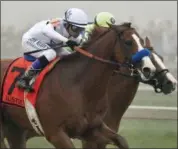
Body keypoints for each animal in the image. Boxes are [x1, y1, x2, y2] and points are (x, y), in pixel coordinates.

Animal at [0, 22, 156, 148]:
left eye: (142, 41)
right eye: (128, 42)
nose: (149, 68)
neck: (79, 87)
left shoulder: (91, 129)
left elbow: (121, 141)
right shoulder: (55, 133)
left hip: (15, 129)